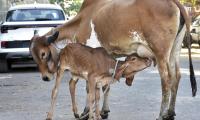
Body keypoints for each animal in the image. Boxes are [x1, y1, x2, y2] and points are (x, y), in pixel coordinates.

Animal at [30, 0, 197, 120]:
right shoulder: (110, 56)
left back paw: (162, 115)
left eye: (43, 54)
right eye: (33, 55)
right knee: (177, 76)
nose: (45, 77)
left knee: (166, 80)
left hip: (161, 53)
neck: (82, 20)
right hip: (175, 50)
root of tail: (175, 2)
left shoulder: (90, 51)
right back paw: (170, 112)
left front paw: (86, 112)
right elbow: (106, 85)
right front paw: (104, 111)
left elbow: (89, 88)